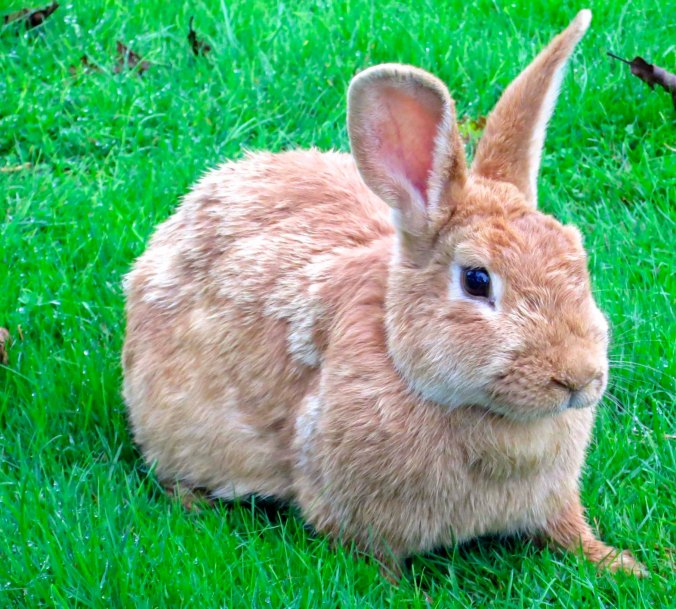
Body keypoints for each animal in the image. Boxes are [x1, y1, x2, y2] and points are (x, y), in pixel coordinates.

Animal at [123, 9, 645, 576]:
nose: (578, 378)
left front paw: (628, 566)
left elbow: (571, 533)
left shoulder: (553, 502)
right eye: (476, 280)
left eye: (578, 255)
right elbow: (380, 566)